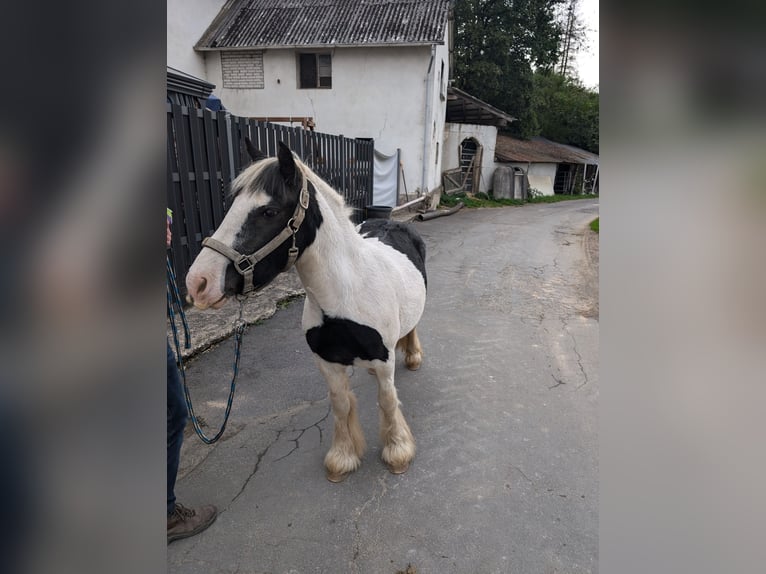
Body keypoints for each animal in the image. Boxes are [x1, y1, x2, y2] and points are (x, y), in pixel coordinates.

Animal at [186, 143, 426, 482]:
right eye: (232, 204)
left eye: (269, 211)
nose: (198, 282)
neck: (344, 297)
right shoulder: (327, 362)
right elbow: (341, 405)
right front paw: (343, 458)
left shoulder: (383, 359)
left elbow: (388, 401)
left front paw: (397, 452)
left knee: (412, 327)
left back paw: (414, 357)